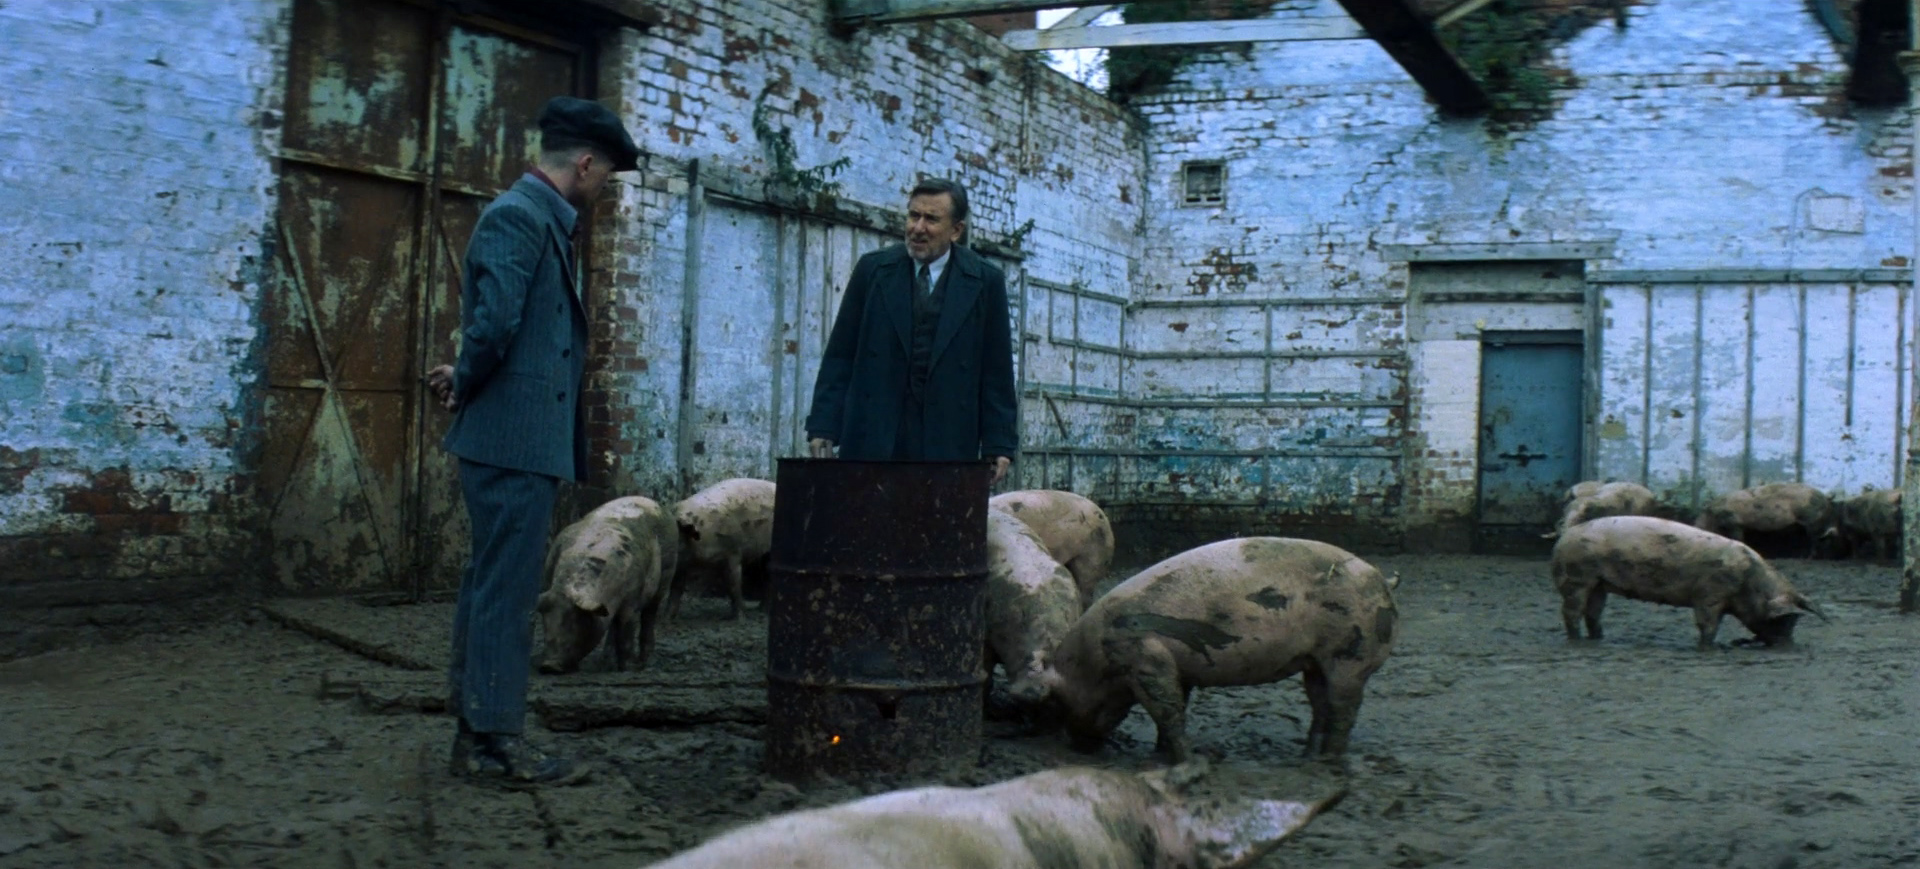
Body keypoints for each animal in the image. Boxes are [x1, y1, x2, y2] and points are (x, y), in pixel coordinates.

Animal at [536, 496, 674, 674]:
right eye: (546, 622)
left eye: (577, 621)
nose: (549, 666)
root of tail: (656, 503)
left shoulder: (632, 598)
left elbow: (626, 633)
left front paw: (625, 669)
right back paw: (605, 662)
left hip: (666, 574)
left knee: (649, 614)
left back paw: (642, 662)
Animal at [669, 478, 776, 620]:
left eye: (677, 540)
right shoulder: (683, 562)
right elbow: (676, 586)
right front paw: (667, 618)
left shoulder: (733, 550)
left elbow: (733, 583)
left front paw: (740, 619)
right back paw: (761, 610)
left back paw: (763, 612)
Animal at [1035, 537, 1398, 762]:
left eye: (1058, 702)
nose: (1079, 747)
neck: (1095, 660)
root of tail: (1382, 580)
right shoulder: (1176, 666)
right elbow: (1176, 706)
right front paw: (1160, 754)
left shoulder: (1144, 657)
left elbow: (1167, 710)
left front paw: (1190, 759)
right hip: (1315, 662)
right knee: (1320, 703)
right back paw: (1307, 755)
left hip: (1351, 656)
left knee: (1343, 709)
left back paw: (1329, 760)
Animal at [1552, 515, 1827, 650]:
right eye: (1784, 620)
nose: (1788, 646)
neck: (1749, 581)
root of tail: (1564, 537)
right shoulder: (1709, 594)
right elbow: (1708, 626)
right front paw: (1708, 646)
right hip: (1577, 577)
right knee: (1571, 612)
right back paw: (1576, 640)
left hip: (1598, 583)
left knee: (1593, 613)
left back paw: (1598, 638)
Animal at [1694, 482, 1835, 558]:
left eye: (1700, 523)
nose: (1695, 525)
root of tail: (1825, 498)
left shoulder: (1735, 523)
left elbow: (1738, 538)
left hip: (1811, 519)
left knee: (1815, 539)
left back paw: (1808, 558)